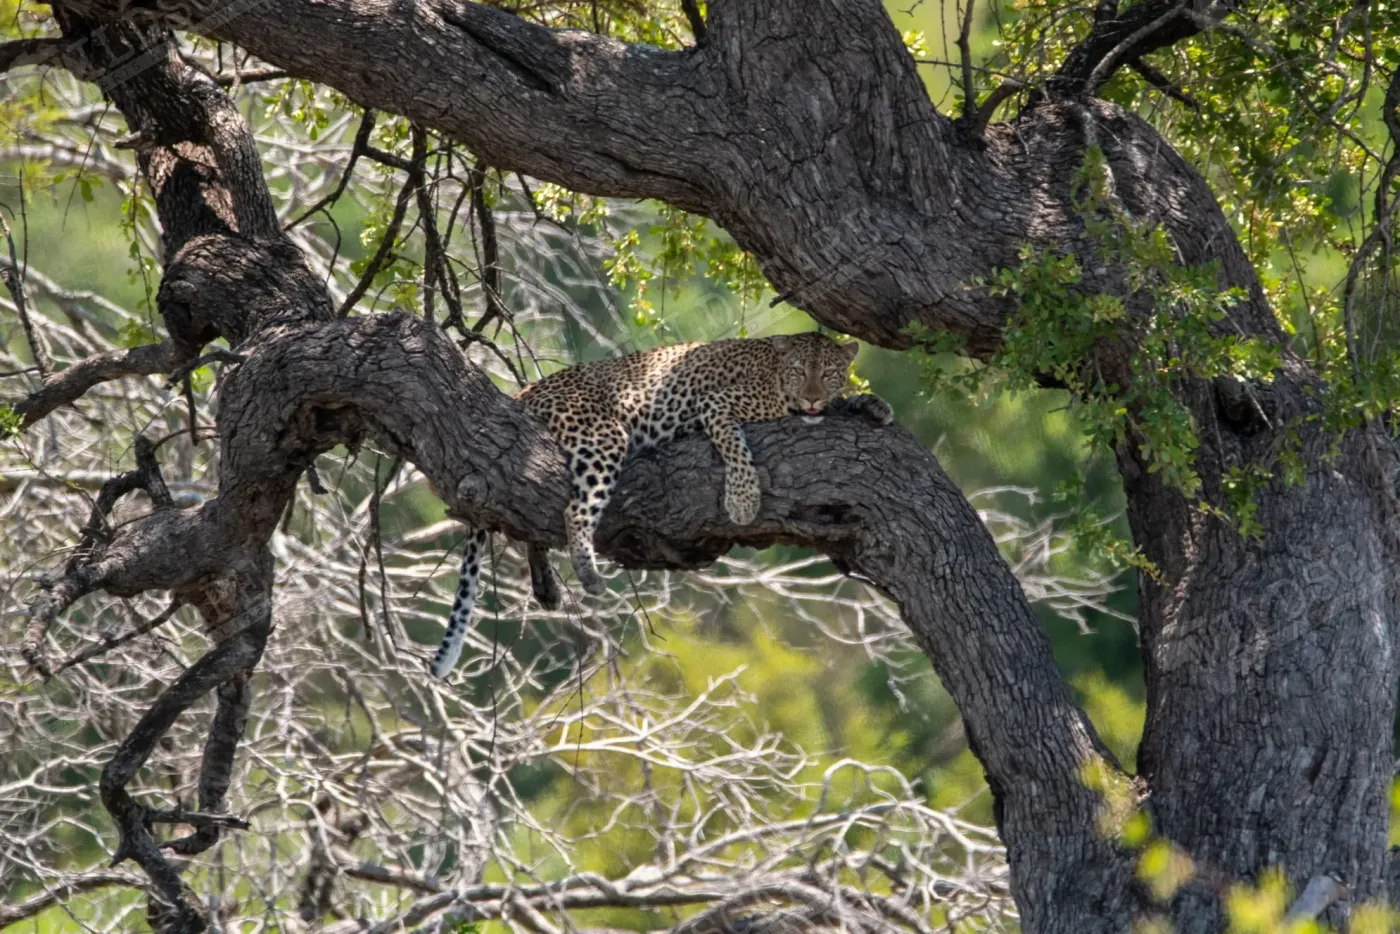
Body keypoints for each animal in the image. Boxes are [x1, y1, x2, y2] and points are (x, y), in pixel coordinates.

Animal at [429, 332, 893, 678]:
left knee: (531, 519)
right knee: (570, 510)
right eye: (798, 372)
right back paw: (587, 573)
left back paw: (545, 586)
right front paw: (743, 499)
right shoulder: (717, 405)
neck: (779, 381)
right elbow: (736, 447)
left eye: (829, 373)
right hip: (604, 435)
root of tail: (524, 391)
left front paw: (872, 404)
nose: (813, 399)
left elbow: (845, 402)